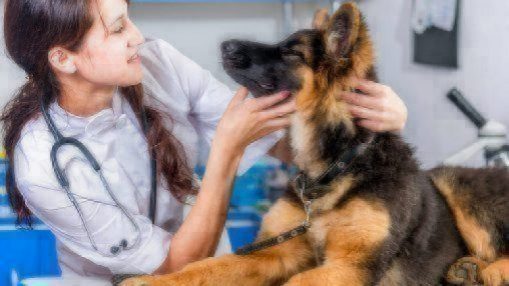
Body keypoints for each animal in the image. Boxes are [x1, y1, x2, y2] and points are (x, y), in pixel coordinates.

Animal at [121, 2, 506, 286]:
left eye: (291, 53)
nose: (224, 45)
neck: (338, 164)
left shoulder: (350, 267)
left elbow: (296, 282)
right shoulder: (275, 252)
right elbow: (206, 267)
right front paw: (150, 281)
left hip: (453, 183)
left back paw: (483, 271)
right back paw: (467, 270)